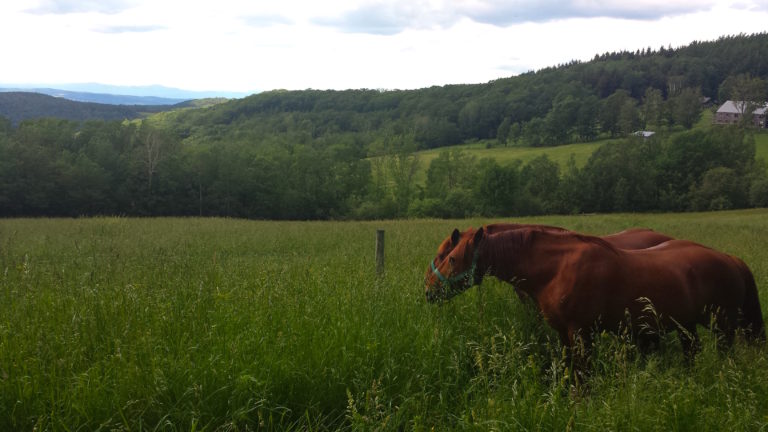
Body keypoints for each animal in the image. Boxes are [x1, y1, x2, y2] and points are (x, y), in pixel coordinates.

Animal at [424, 226, 764, 362]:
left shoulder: (581, 333)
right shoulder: (563, 334)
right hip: (686, 328)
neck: (556, 268)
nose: (428, 291)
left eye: (450, 258)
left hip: (723, 329)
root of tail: (731, 259)